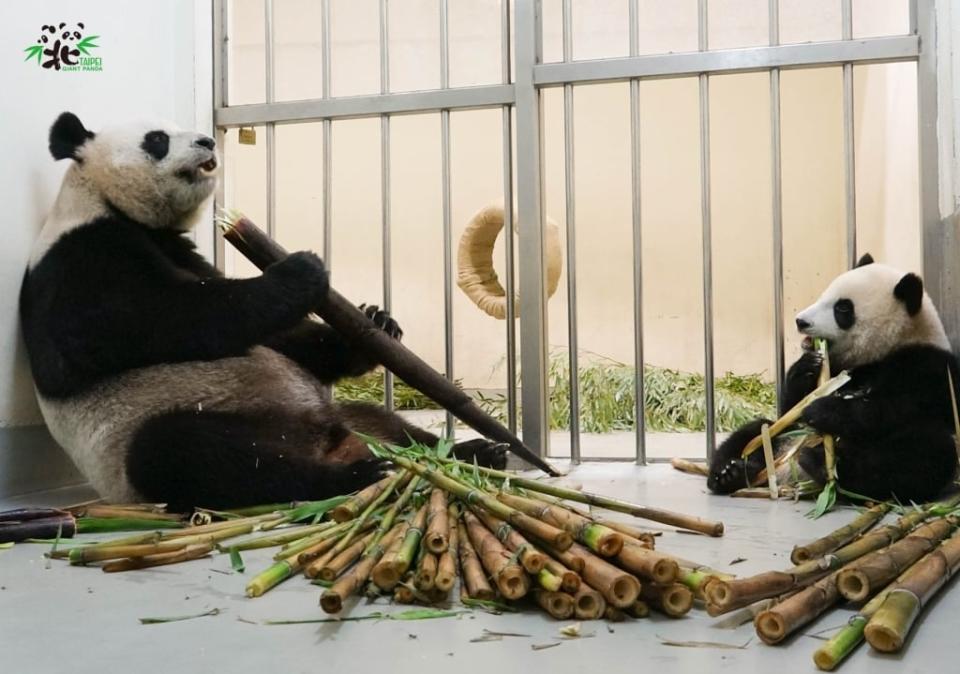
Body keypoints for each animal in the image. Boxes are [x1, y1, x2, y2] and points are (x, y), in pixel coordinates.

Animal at [18, 111, 506, 510]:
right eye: (157, 139)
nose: (207, 142)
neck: (109, 205)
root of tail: (327, 441)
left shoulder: (179, 251)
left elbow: (275, 335)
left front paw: (374, 323)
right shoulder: (79, 260)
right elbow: (162, 318)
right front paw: (302, 270)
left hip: (346, 416)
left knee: (391, 425)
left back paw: (472, 453)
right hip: (158, 434)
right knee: (200, 456)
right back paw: (353, 476)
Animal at [704, 253, 960, 504]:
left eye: (843, 309)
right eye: (823, 295)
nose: (801, 321)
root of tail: (791, 474)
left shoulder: (928, 366)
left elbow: (894, 408)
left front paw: (823, 410)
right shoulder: (835, 368)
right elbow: (790, 408)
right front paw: (806, 368)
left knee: (921, 452)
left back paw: (823, 463)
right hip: (780, 438)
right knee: (756, 431)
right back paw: (730, 472)